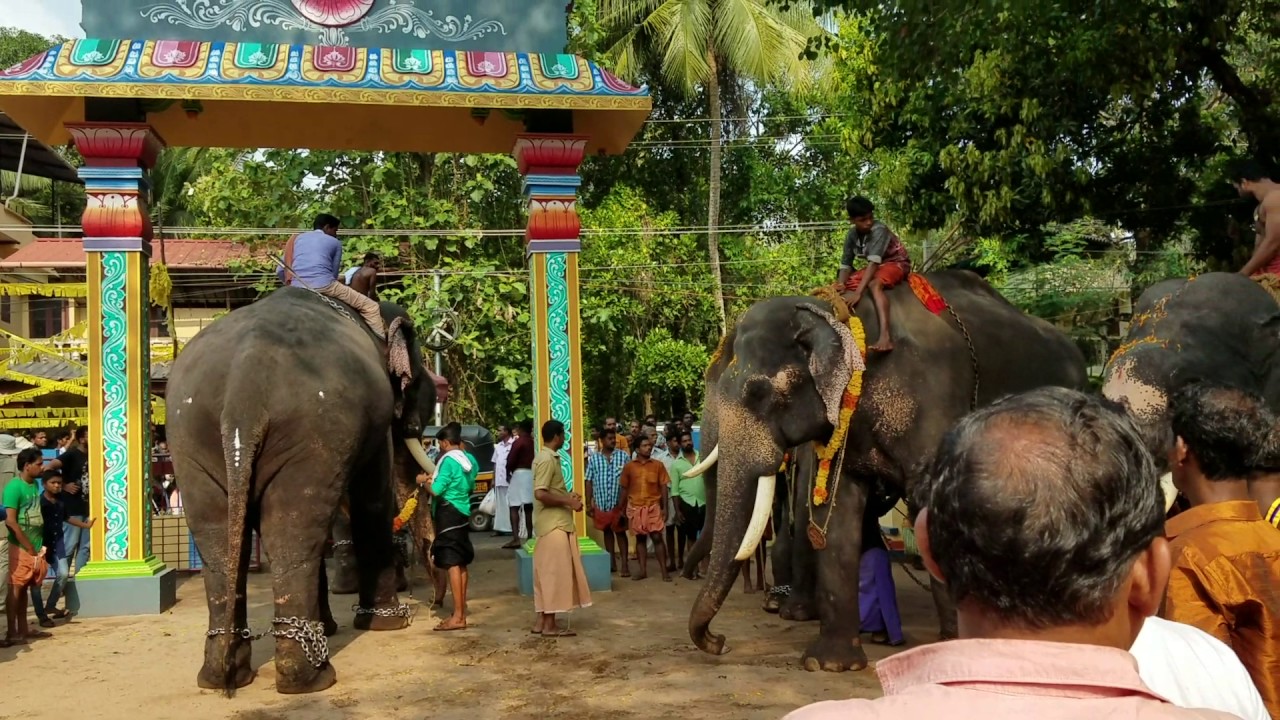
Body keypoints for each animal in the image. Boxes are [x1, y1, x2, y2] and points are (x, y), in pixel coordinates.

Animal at [166, 286, 438, 695]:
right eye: (418, 378)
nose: (433, 605)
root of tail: (242, 396)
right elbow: (371, 500)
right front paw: (387, 623)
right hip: (312, 430)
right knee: (293, 531)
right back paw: (311, 678)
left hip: (191, 438)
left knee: (226, 534)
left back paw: (222, 675)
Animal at [683, 270, 1087, 672]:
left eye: (757, 394)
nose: (719, 642)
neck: (836, 314)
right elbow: (835, 512)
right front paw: (829, 664)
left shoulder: (934, 398)